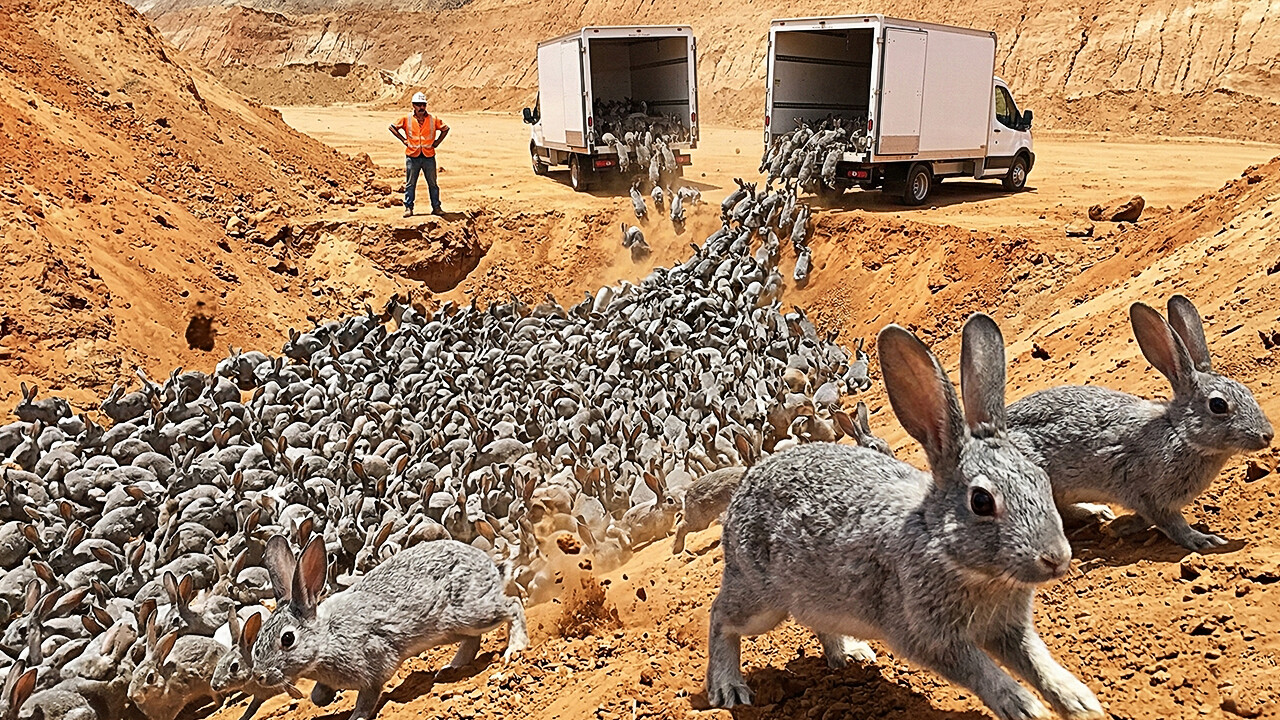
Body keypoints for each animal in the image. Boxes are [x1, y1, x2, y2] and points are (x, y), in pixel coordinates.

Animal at [252, 534, 528, 720]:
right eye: (256, 644)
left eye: (288, 639)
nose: (259, 676)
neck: (326, 639)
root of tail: (490, 567)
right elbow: (317, 696)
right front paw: (323, 698)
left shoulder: (372, 668)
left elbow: (367, 698)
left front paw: (356, 717)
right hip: (455, 627)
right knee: (473, 639)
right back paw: (451, 668)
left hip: (469, 613)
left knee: (512, 606)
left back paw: (515, 648)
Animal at [705, 314, 1104, 720]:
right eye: (981, 501)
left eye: (1041, 479)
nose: (1056, 559)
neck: (943, 547)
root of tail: (746, 485)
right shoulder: (929, 635)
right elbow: (981, 672)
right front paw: (1025, 707)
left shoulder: (1009, 629)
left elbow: (1036, 661)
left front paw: (1079, 702)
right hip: (760, 599)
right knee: (721, 617)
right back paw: (728, 688)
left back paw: (850, 653)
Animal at [1006, 295, 1274, 550]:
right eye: (1218, 405)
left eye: (1247, 391)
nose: (1268, 435)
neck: (1179, 433)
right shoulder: (1149, 495)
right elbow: (1172, 524)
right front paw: (1203, 540)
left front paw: (1120, 526)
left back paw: (1097, 513)